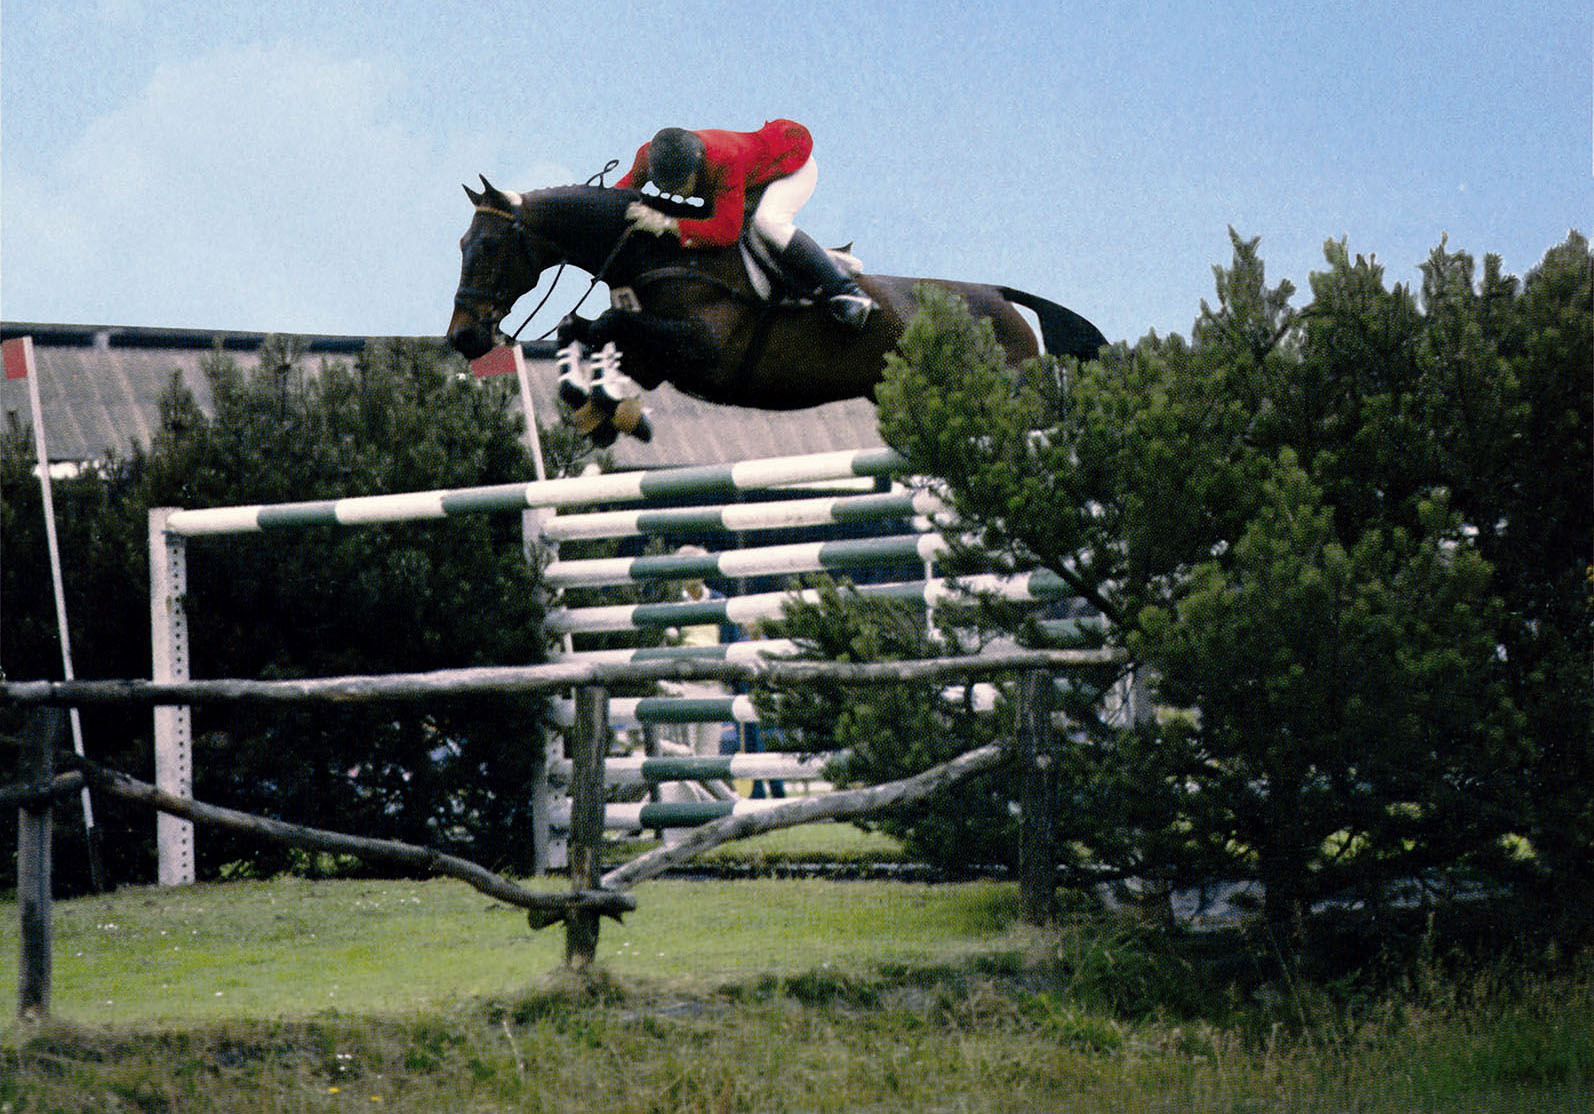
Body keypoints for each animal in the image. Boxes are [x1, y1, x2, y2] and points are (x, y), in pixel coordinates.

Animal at [443, 177, 1103, 430]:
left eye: (491, 246)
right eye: (462, 245)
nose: (464, 338)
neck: (660, 248)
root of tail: (1001, 298)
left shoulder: (701, 349)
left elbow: (602, 322)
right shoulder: (656, 359)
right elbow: (587, 329)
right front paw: (595, 408)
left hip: (1005, 392)